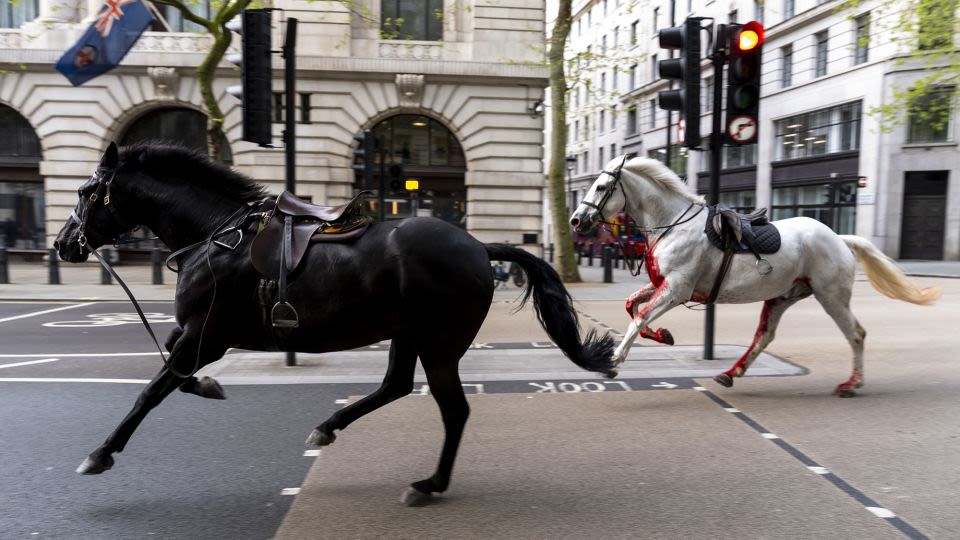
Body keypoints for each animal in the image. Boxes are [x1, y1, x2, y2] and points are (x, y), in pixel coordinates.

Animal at [54, 141, 616, 504]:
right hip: (408, 334)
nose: (62, 244)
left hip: (439, 344)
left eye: (85, 192)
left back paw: (429, 484)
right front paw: (210, 387)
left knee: (453, 410)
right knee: (395, 386)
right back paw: (329, 428)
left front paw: (100, 453)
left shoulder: (206, 335)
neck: (216, 235)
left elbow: (152, 390)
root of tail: (479, 246)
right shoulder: (196, 334)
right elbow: (174, 372)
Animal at [568, 156, 936, 396]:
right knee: (764, 336)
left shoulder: (677, 289)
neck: (673, 224)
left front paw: (614, 360)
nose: (575, 220)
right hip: (782, 296)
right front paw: (664, 335)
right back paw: (732, 373)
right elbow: (633, 306)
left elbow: (640, 316)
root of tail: (839, 238)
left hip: (831, 296)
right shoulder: (664, 285)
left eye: (602, 187)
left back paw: (852, 383)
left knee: (856, 334)